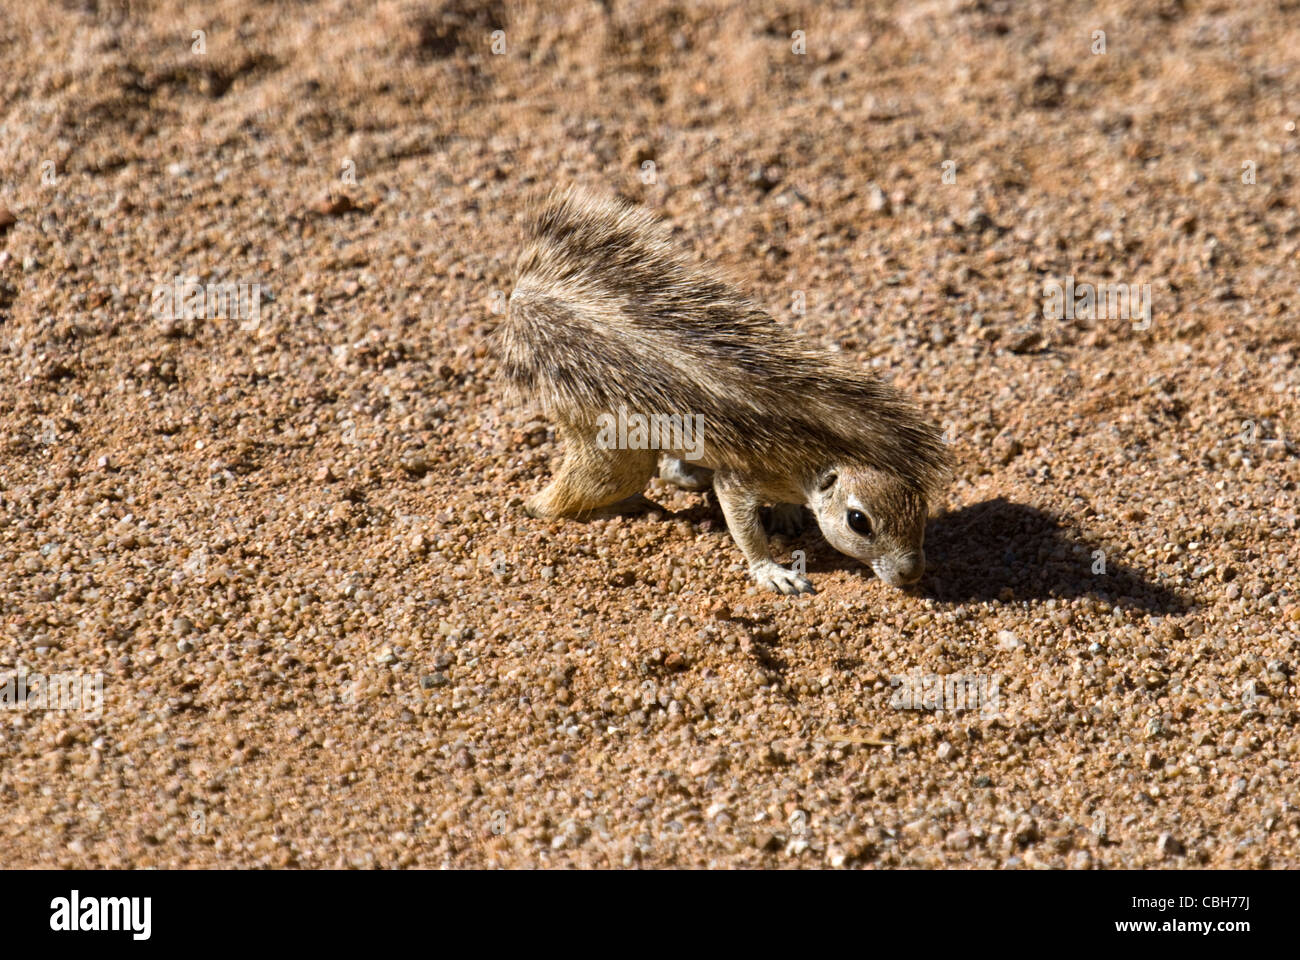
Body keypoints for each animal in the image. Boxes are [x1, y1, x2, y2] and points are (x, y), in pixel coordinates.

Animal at [501, 186, 951, 590]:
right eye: (859, 522)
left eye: (922, 506)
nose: (912, 573)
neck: (821, 450)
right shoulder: (742, 481)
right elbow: (744, 527)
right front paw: (772, 572)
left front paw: (787, 515)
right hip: (617, 459)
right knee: (549, 504)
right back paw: (608, 505)